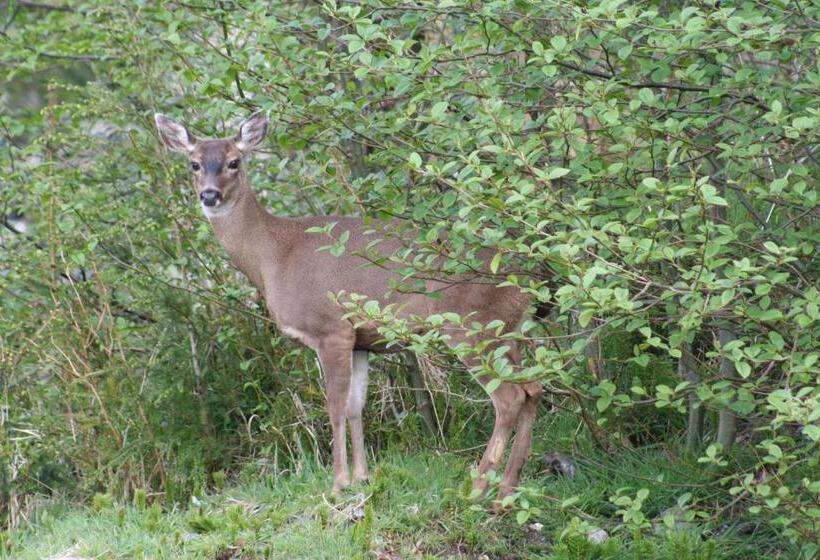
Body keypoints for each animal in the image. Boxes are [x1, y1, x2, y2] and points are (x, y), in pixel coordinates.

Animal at [155, 110, 544, 498]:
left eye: (234, 161)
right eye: (193, 163)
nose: (209, 195)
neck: (274, 256)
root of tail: (529, 283)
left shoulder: (331, 328)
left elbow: (334, 405)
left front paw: (338, 482)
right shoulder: (360, 341)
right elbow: (357, 406)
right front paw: (362, 477)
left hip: (470, 325)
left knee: (509, 397)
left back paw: (477, 488)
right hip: (509, 331)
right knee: (533, 388)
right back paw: (507, 488)